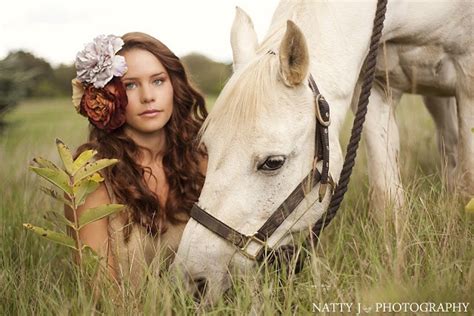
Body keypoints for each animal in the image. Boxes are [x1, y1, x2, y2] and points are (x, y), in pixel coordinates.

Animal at [174, 0, 474, 304]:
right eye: (208, 148)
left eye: (273, 162)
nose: (194, 281)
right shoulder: (376, 86)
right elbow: (387, 203)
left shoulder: (467, 73)